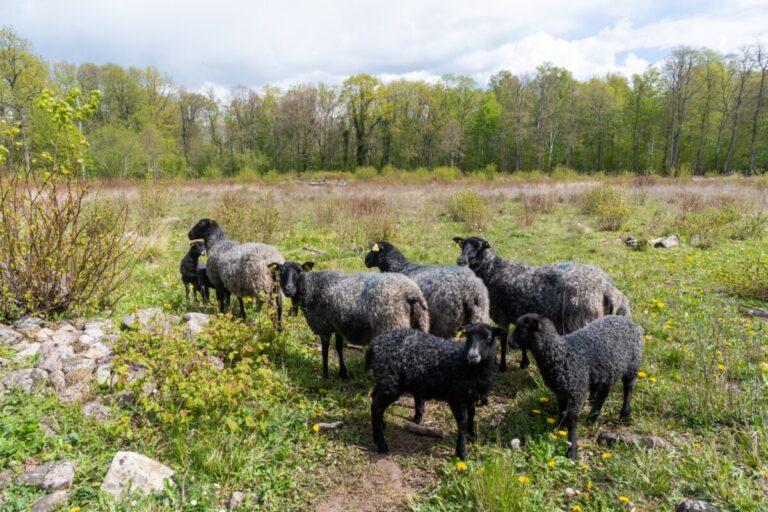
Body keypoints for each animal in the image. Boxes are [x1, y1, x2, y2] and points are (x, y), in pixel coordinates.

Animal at [268, 262, 428, 378]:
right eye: (281, 272)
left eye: (299, 272)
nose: (288, 289)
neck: (311, 287)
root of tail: (411, 293)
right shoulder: (337, 324)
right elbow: (338, 347)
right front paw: (343, 373)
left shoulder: (324, 326)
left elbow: (325, 351)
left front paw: (325, 374)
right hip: (421, 323)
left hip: (392, 324)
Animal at [364, 324, 504, 460]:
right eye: (468, 337)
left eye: (489, 338)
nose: (472, 356)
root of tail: (374, 344)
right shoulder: (456, 396)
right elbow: (462, 422)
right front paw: (462, 452)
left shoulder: (470, 396)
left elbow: (472, 414)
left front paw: (471, 434)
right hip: (391, 382)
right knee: (376, 407)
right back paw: (381, 444)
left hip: (384, 380)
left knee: (375, 398)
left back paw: (381, 425)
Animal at [456, 234, 632, 370]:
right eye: (462, 245)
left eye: (479, 247)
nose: (461, 261)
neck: (493, 271)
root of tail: (608, 288)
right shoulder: (519, 314)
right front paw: (524, 363)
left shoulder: (503, 316)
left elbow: (504, 342)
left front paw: (503, 367)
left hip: (583, 320)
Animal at [512, 312, 644, 460]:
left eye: (522, 331)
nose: (510, 343)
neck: (561, 355)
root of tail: (626, 319)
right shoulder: (561, 391)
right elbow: (562, 412)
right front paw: (560, 429)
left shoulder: (577, 391)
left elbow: (572, 419)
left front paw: (572, 451)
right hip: (608, 369)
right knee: (604, 392)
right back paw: (592, 417)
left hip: (632, 363)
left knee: (628, 387)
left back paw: (624, 415)